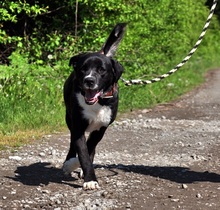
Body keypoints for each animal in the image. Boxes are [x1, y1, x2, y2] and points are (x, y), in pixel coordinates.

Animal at [62, 23, 126, 189]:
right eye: (83, 69)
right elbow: (82, 152)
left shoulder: (101, 128)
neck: (98, 103)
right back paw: (69, 162)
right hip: (69, 118)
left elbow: (89, 148)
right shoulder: (77, 126)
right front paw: (89, 179)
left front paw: (84, 171)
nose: (89, 80)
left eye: (102, 70)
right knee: (72, 144)